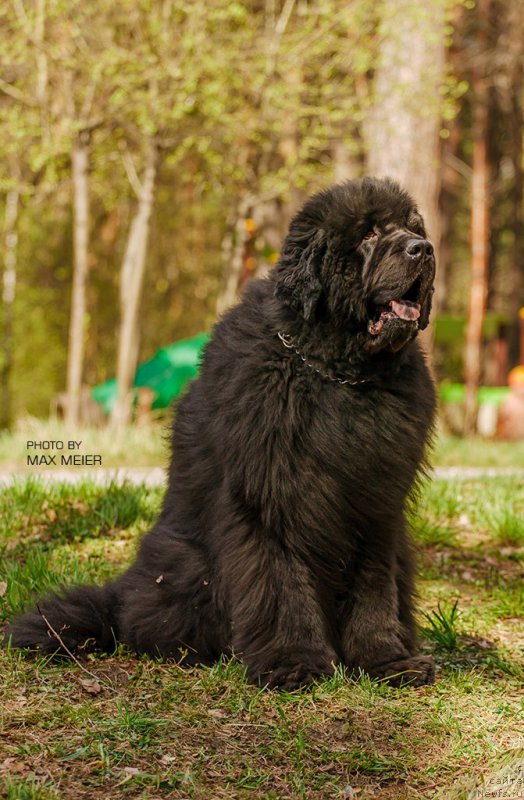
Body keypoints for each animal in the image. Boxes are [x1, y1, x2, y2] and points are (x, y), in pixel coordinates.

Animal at [8, 178, 436, 692]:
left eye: (414, 229)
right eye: (369, 232)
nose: (424, 249)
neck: (337, 374)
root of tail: (119, 596)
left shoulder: (375, 507)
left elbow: (375, 589)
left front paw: (387, 661)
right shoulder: (270, 502)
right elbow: (280, 584)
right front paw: (294, 662)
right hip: (188, 568)